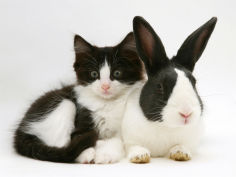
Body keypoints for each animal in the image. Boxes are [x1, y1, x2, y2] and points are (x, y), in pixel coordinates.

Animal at [13, 31, 145, 163]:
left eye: (117, 73)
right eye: (94, 74)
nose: (105, 86)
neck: (107, 103)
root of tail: (20, 130)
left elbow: (119, 140)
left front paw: (105, 154)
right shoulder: (83, 114)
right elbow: (77, 136)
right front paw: (89, 153)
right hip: (64, 103)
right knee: (61, 145)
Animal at [121, 15, 218, 162]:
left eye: (194, 83)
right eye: (160, 86)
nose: (186, 113)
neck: (166, 126)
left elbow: (182, 145)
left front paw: (181, 153)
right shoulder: (130, 139)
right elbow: (134, 146)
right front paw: (140, 156)